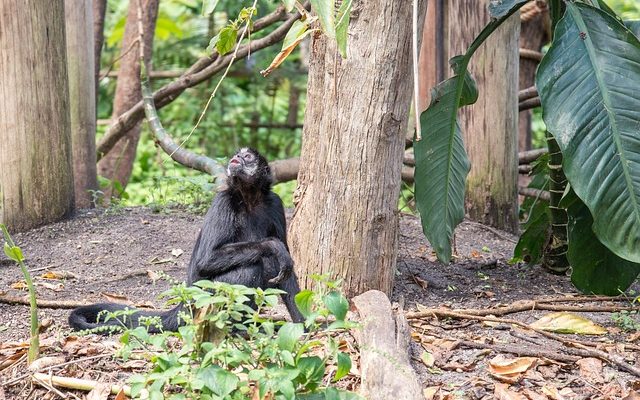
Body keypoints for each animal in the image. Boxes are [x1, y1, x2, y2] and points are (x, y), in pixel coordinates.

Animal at [69, 148, 304, 332]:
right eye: (238, 153)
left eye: (247, 156)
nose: (237, 156)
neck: (249, 198)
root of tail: (186, 303)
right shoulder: (223, 201)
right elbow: (207, 259)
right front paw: (273, 246)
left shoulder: (274, 203)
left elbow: (287, 268)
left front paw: (304, 325)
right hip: (205, 300)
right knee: (252, 266)